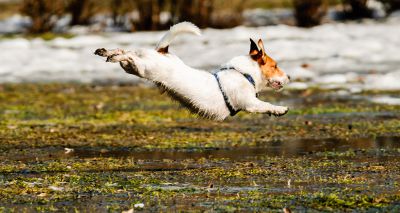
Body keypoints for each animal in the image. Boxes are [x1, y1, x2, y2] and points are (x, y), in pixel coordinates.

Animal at [95, 22, 290, 120]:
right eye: (275, 66)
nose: (289, 76)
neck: (244, 74)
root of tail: (162, 51)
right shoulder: (249, 103)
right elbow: (266, 105)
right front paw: (280, 109)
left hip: (134, 69)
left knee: (126, 53)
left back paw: (107, 52)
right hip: (144, 69)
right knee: (129, 55)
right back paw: (111, 55)